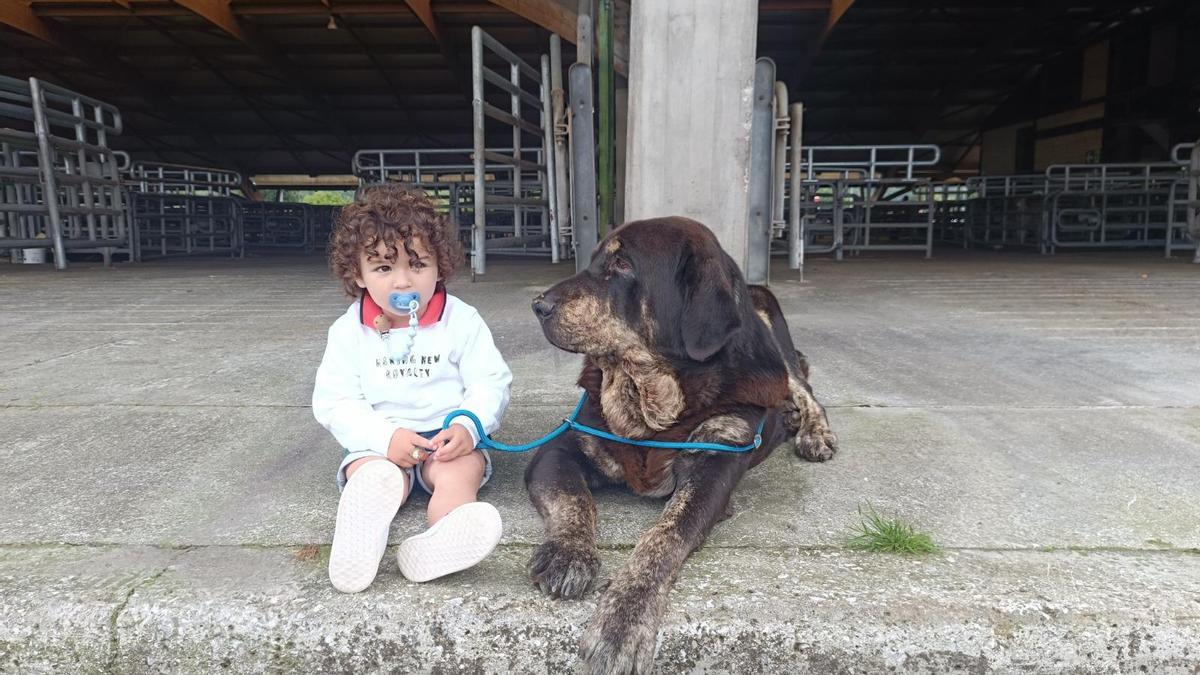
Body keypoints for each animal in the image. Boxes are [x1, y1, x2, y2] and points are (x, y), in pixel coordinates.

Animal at [530, 216, 840, 672]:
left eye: (622, 264)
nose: (538, 305)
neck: (651, 396)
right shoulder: (560, 448)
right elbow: (573, 500)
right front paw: (568, 552)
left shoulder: (714, 466)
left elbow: (664, 536)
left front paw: (623, 619)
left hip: (773, 340)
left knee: (803, 386)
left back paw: (813, 431)